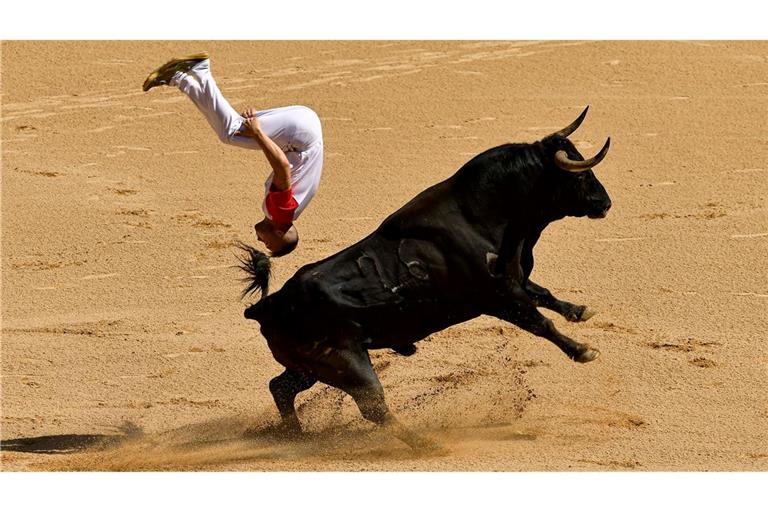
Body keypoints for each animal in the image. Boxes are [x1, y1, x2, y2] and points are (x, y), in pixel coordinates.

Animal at [240, 107, 612, 448]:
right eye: (579, 176)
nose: (605, 203)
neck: (484, 212)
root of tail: (266, 307)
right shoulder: (501, 297)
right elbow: (540, 323)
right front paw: (583, 350)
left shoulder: (515, 281)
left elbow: (545, 294)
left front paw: (580, 311)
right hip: (346, 363)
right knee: (372, 405)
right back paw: (424, 443)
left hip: (310, 367)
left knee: (280, 387)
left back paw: (295, 435)